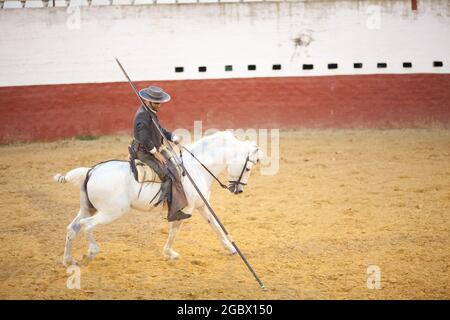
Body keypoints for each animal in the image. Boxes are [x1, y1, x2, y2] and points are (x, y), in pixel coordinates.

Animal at [54, 131, 262, 266]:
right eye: (248, 168)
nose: (238, 190)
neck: (195, 168)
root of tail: (91, 171)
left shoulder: (202, 205)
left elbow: (216, 226)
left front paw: (231, 249)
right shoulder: (185, 209)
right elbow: (174, 230)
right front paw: (170, 253)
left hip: (87, 208)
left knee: (72, 228)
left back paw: (68, 260)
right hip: (109, 212)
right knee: (87, 225)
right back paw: (91, 253)